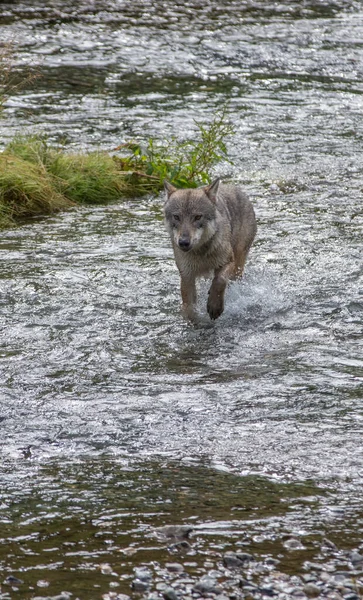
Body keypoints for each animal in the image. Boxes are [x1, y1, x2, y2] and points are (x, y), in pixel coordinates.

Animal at [164, 177, 258, 322]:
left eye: (198, 217)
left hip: (238, 267)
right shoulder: (186, 276)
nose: (183, 242)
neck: (201, 253)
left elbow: (220, 281)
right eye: (176, 217)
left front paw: (215, 306)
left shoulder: (228, 261)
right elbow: (189, 307)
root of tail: (234, 187)